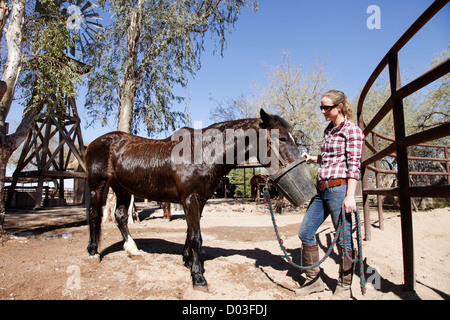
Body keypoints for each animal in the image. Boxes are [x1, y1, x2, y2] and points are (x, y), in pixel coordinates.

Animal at [86, 108, 300, 290]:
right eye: (281, 137)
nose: (299, 162)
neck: (202, 152)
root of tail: (97, 142)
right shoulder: (190, 199)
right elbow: (196, 237)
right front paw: (198, 277)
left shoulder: (200, 201)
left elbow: (190, 232)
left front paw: (188, 260)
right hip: (97, 187)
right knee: (95, 215)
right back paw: (93, 252)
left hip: (122, 188)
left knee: (121, 216)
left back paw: (132, 249)